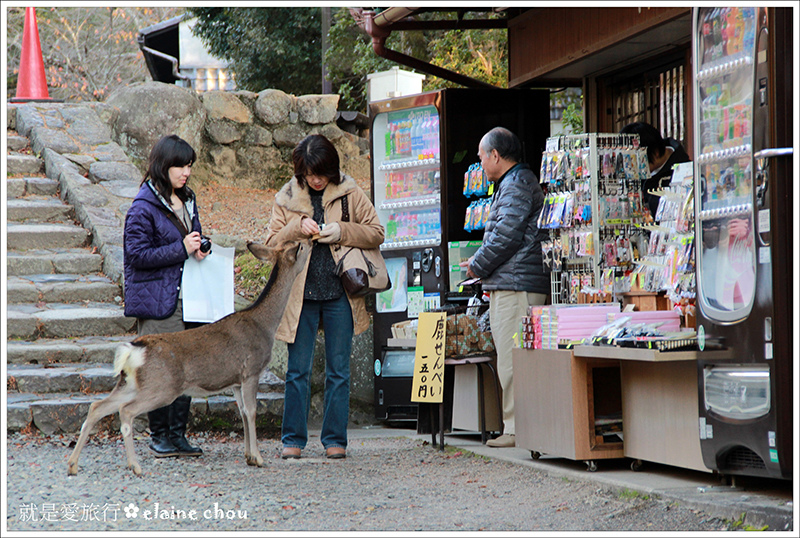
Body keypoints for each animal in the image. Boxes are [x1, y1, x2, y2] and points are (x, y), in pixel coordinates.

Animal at [66, 239, 312, 474]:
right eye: (299, 246)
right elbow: (252, 412)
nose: (311, 241)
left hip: (131, 383)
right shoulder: (252, 369)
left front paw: (248, 456)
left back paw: (73, 465)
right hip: (162, 386)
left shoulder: (235, 381)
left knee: (97, 406)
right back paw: (135, 466)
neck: (265, 324)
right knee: (126, 411)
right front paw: (259, 458)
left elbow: (242, 412)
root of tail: (134, 349)